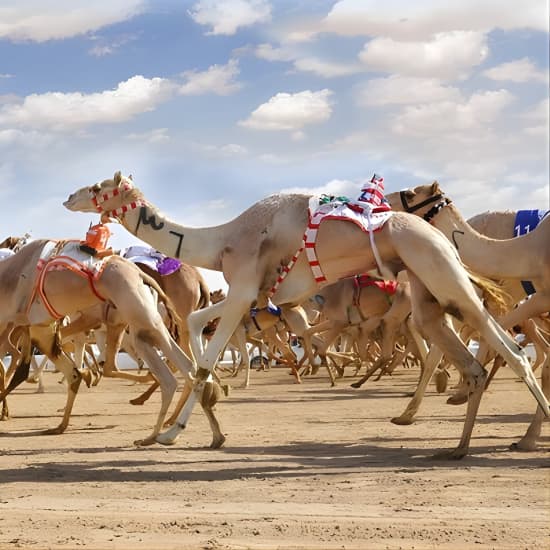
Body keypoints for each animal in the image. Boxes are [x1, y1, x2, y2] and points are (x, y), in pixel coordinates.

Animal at [62, 172, 548, 462]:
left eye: (98, 187)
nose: (67, 196)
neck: (221, 240)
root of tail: (443, 237)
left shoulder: (243, 289)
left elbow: (205, 356)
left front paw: (171, 434)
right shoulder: (248, 295)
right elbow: (199, 324)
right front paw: (211, 404)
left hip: (441, 272)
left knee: (509, 350)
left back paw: (522, 437)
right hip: (429, 290)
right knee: (473, 357)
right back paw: (458, 447)